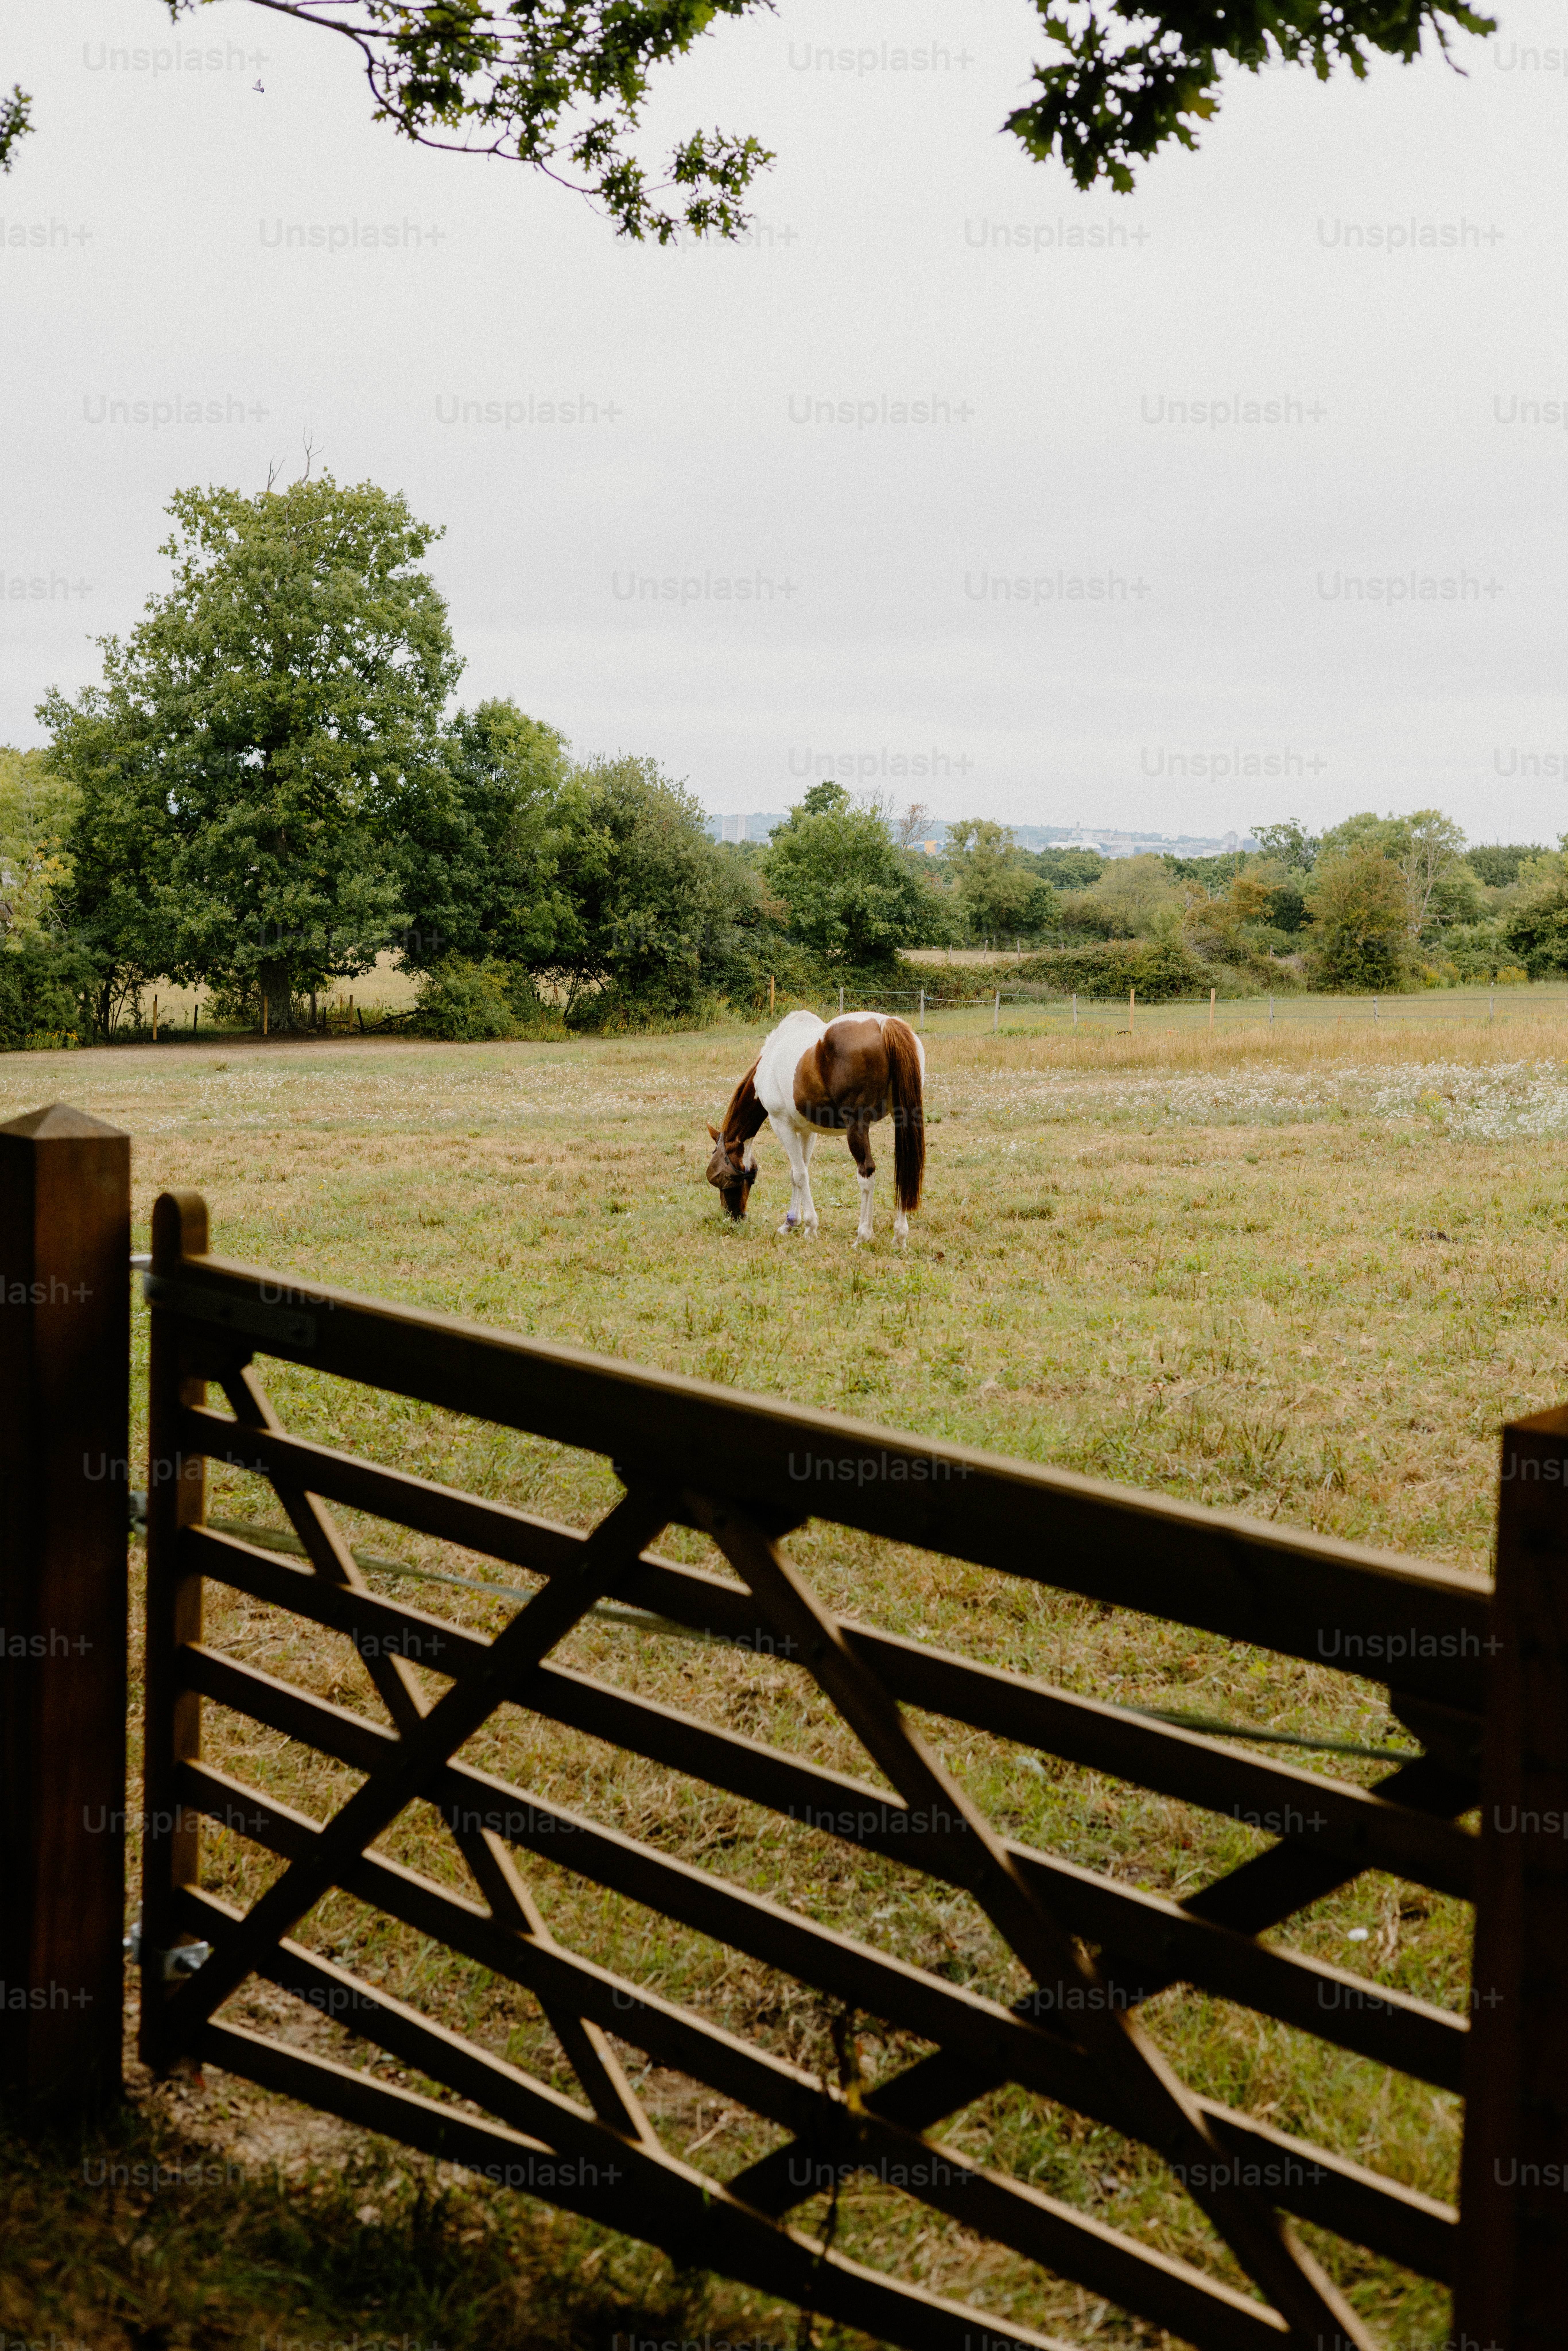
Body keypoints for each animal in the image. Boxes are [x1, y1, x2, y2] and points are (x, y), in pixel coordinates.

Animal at [705, 1008, 926, 1245]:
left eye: (720, 1178)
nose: (733, 1216)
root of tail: (884, 1024)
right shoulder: (807, 1131)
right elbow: (797, 1173)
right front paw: (791, 1222)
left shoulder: (782, 1125)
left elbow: (800, 1174)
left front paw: (810, 1227)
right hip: (903, 1118)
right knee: (904, 1170)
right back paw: (900, 1237)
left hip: (857, 1127)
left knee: (867, 1173)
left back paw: (863, 1235)